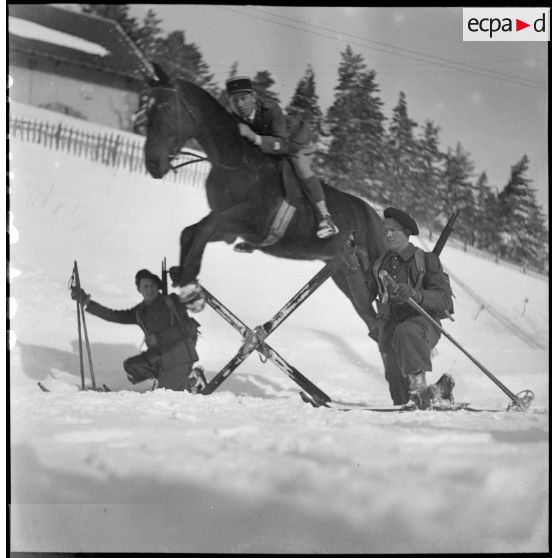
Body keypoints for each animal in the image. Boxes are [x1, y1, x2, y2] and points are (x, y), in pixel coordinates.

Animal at [143, 65, 384, 336]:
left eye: (165, 107)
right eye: (146, 107)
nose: (153, 163)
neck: (237, 160)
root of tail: (378, 219)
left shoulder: (247, 220)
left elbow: (201, 230)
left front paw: (191, 291)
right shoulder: (228, 229)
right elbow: (190, 233)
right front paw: (187, 284)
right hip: (343, 271)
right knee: (372, 320)